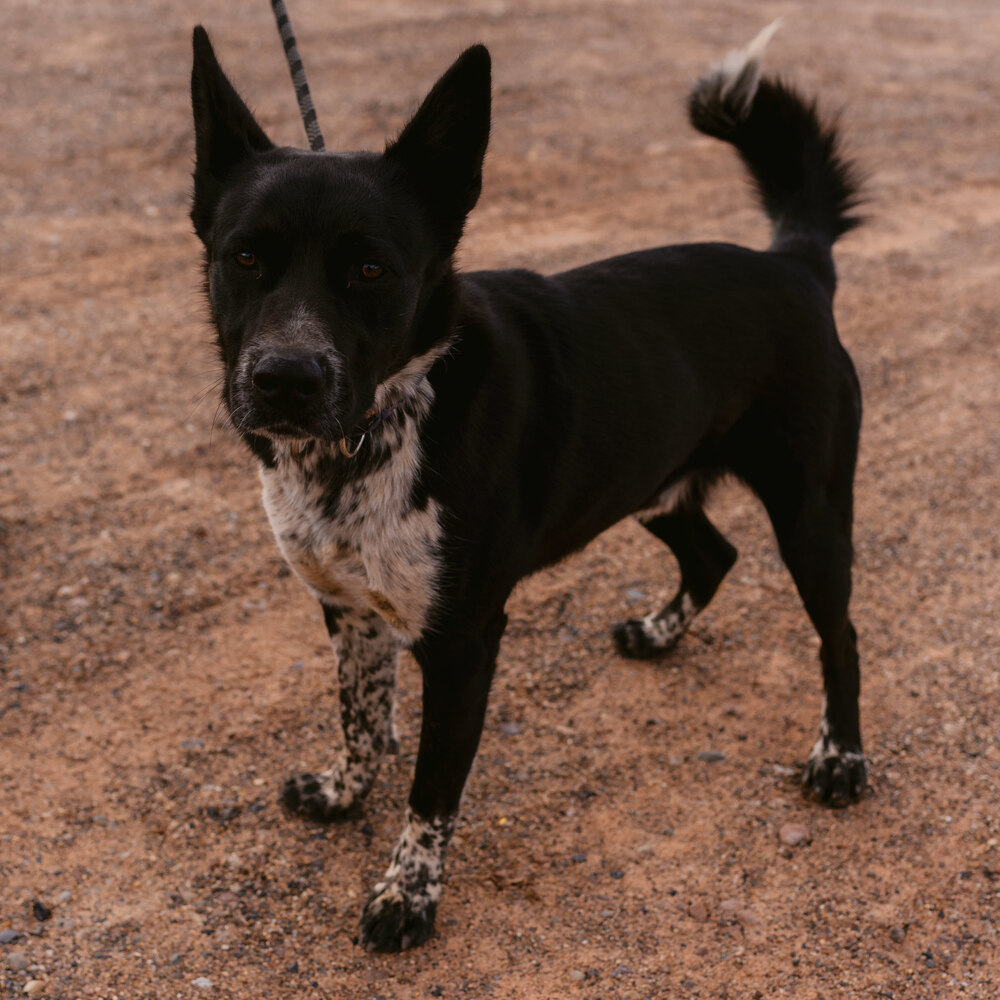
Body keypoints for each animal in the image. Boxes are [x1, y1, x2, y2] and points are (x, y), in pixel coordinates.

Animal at [191, 19, 864, 948]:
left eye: (371, 271)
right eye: (246, 257)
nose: (285, 379)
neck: (377, 432)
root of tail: (795, 263)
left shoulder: (463, 644)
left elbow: (431, 790)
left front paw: (407, 897)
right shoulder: (347, 607)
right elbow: (361, 719)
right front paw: (342, 793)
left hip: (809, 513)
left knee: (841, 636)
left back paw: (840, 758)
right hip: (649, 481)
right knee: (713, 551)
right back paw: (659, 633)